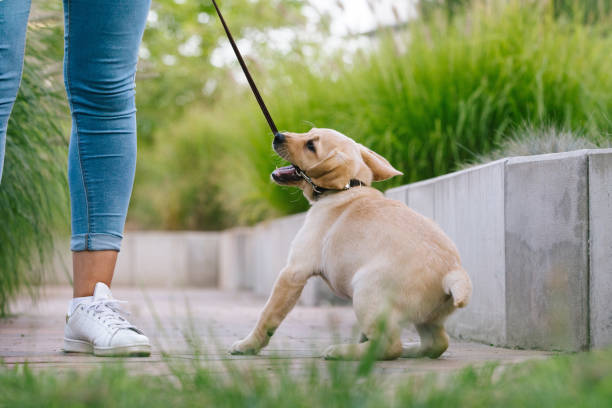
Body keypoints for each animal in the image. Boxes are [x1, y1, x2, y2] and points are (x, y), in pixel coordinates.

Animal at [230, 128, 474, 360]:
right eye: (309, 132)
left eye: (311, 146)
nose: (278, 136)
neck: (348, 187)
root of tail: (453, 272)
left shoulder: (293, 272)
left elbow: (268, 315)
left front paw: (248, 345)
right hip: (428, 316)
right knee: (437, 343)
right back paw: (409, 349)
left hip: (366, 291)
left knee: (389, 346)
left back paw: (343, 352)